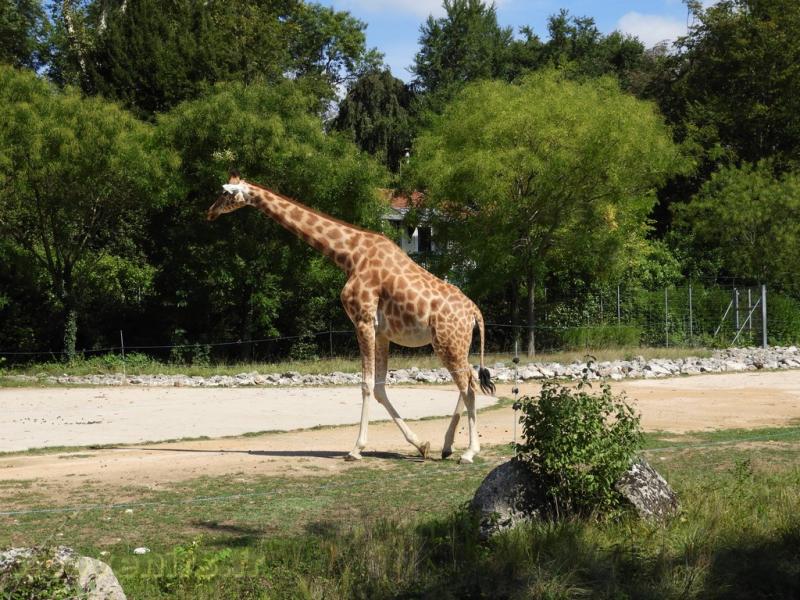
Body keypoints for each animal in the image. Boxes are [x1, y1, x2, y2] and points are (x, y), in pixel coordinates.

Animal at [207, 171, 495, 463]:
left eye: (225, 193)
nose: (210, 212)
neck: (349, 256)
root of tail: (475, 312)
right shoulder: (382, 332)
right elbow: (379, 387)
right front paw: (421, 444)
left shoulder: (363, 321)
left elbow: (366, 385)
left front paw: (356, 449)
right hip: (454, 344)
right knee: (468, 381)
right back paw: (447, 446)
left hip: (448, 342)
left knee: (468, 386)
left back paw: (469, 452)